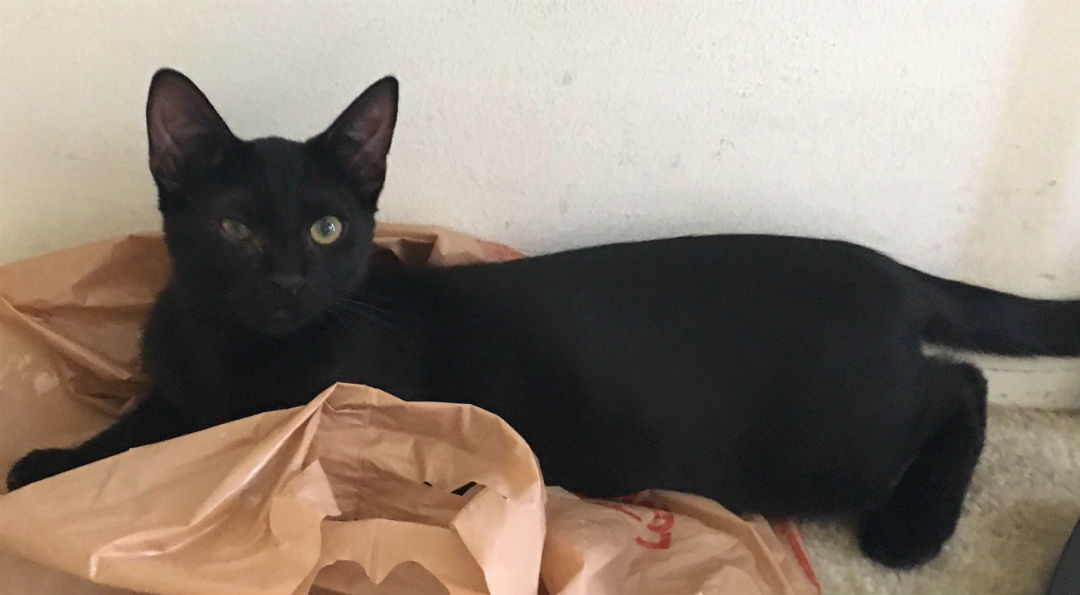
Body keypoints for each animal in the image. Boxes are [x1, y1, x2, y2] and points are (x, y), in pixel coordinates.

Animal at [7, 68, 1080, 570]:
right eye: (232, 227)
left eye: (325, 227)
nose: (284, 278)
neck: (235, 345)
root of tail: (887, 268)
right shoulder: (182, 381)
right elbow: (144, 421)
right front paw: (50, 462)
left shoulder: (311, 416)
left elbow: (187, 439)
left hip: (830, 439)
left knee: (962, 383)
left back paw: (914, 524)